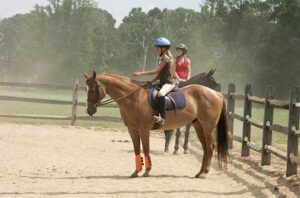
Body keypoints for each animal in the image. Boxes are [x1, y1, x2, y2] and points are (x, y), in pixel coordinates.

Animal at [85, 71, 229, 178]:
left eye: (93, 89)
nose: (89, 110)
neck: (133, 97)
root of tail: (216, 94)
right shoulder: (132, 130)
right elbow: (137, 149)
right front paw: (136, 172)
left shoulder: (144, 129)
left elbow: (146, 149)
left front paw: (147, 171)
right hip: (199, 126)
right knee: (205, 148)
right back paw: (200, 172)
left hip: (208, 127)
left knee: (210, 147)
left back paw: (204, 173)